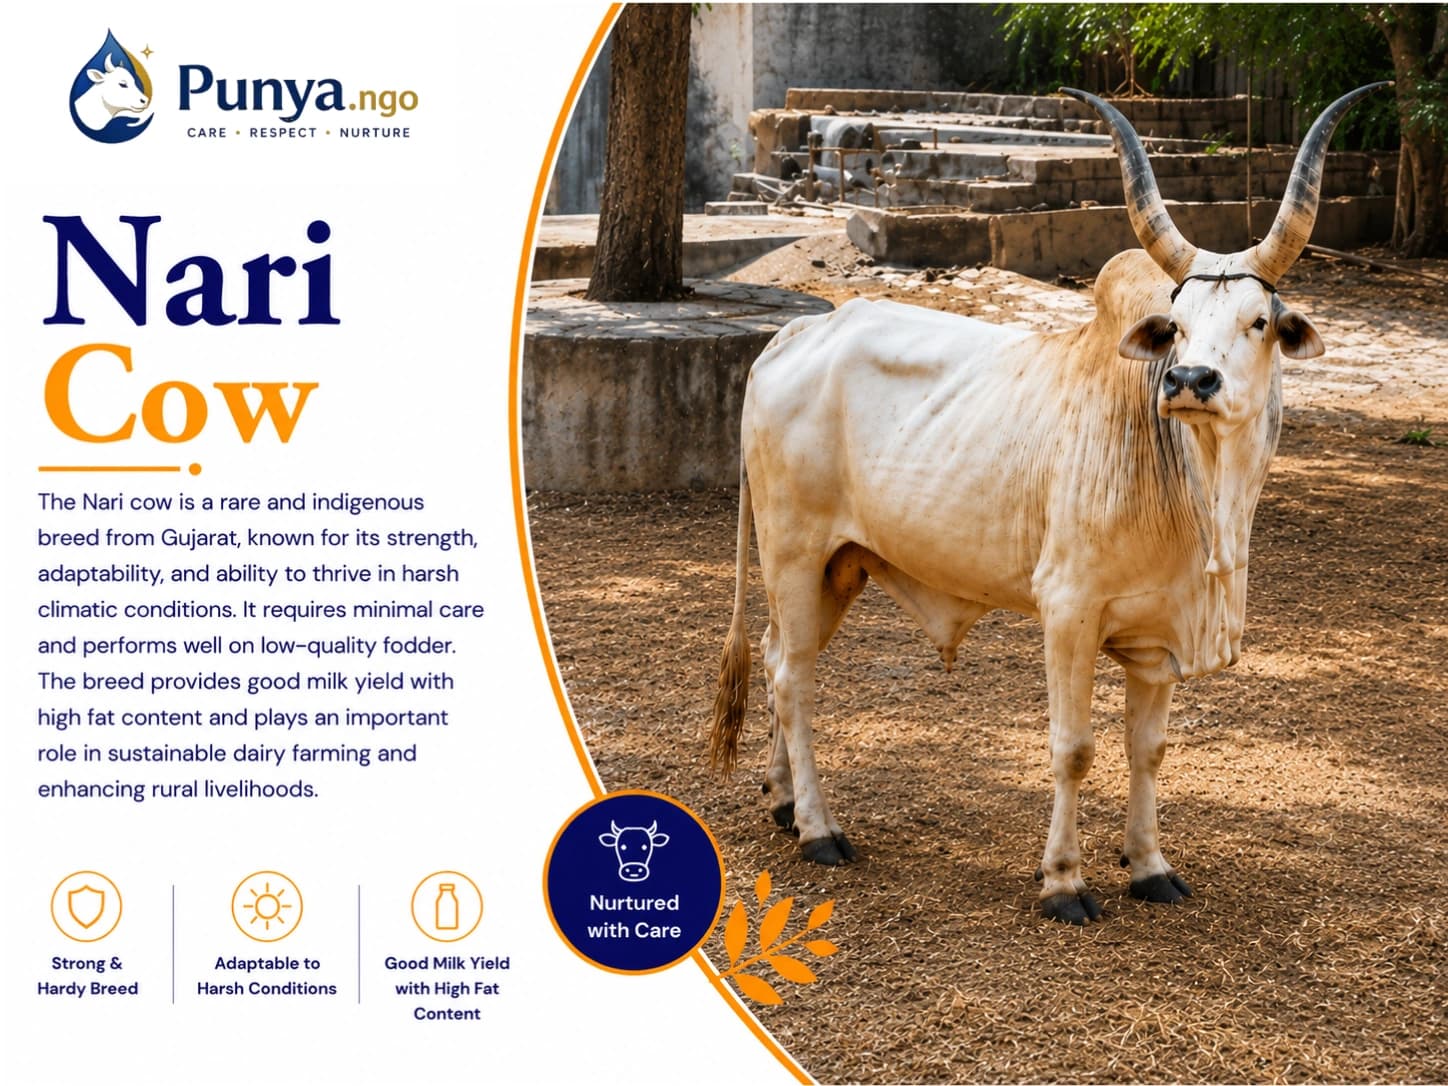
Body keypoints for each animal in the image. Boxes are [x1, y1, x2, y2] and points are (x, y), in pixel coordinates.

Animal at [711, 84, 1387, 924]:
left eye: (1257, 322)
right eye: (1178, 329)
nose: (1189, 381)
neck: (1204, 506)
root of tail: (799, 329)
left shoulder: (1157, 640)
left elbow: (1147, 750)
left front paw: (1149, 866)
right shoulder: (1067, 611)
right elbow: (1075, 749)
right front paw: (1063, 880)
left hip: (840, 567)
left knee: (777, 658)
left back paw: (780, 800)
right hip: (794, 555)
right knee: (793, 678)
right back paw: (818, 828)